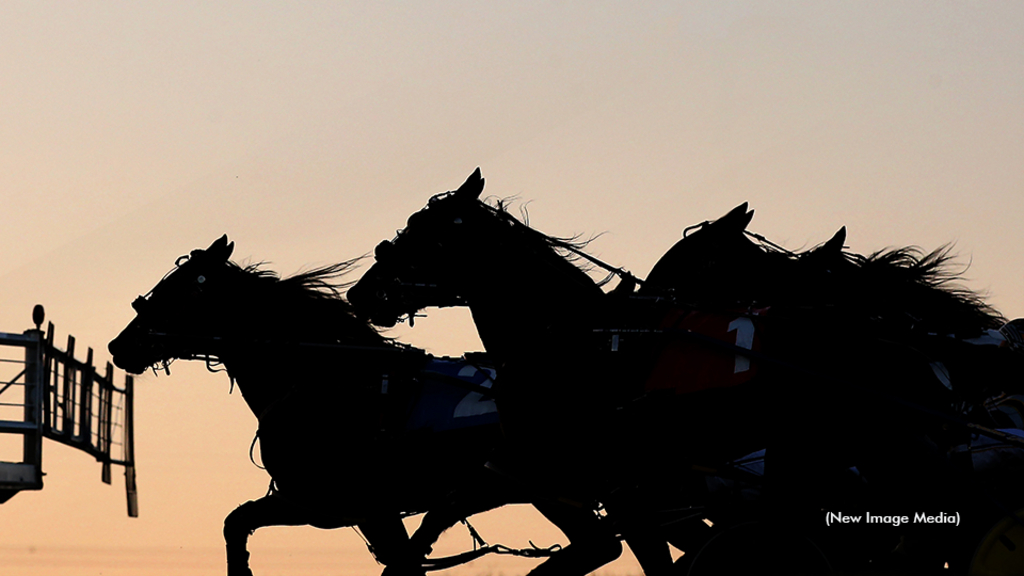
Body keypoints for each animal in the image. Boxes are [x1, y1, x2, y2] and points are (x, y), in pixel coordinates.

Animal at [112, 236, 622, 573]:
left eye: (176, 289)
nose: (121, 344)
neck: (331, 380)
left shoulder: (337, 506)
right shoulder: (340, 508)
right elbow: (236, 523)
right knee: (596, 547)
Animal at [350, 169, 1024, 569]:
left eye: (419, 231)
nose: (364, 292)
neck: (583, 345)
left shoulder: (617, 488)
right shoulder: (548, 475)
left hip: (881, 446)